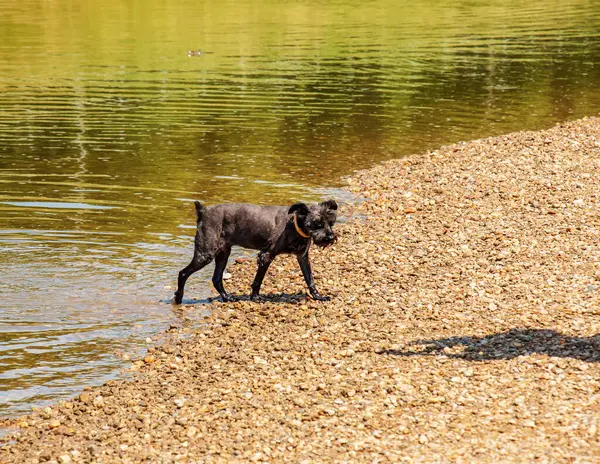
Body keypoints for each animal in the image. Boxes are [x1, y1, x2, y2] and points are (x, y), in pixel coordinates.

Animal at [173, 199, 338, 304]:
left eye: (331, 223)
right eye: (317, 224)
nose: (330, 237)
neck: (294, 224)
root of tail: (202, 211)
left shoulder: (302, 257)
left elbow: (310, 279)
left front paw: (318, 296)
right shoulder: (266, 256)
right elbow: (258, 280)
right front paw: (256, 297)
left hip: (223, 254)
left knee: (216, 278)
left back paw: (227, 298)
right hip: (205, 254)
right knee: (183, 273)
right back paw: (179, 298)